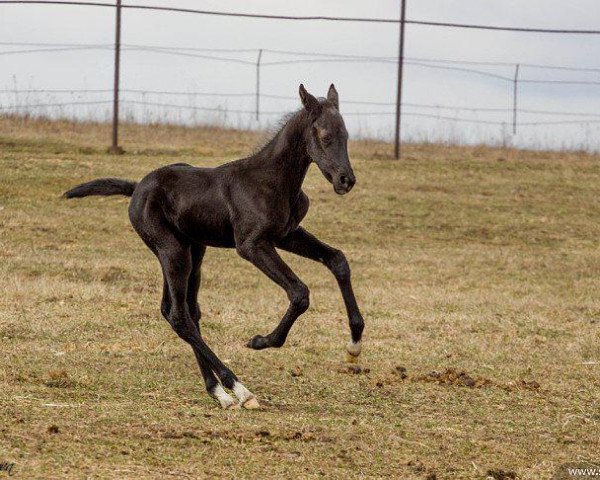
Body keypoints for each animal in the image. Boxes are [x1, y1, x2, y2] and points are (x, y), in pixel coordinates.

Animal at [65, 83, 366, 408]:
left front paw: (354, 344)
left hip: (193, 250)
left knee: (183, 310)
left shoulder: (286, 234)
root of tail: (136, 188)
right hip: (172, 250)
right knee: (179, 316)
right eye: (324, 136)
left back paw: (219, 391)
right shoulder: (251, 245)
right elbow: (299, 293)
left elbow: (337, 260)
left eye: (346, 136)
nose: (346, 180)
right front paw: (261, 341)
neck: (272, 181)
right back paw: (237, 388)